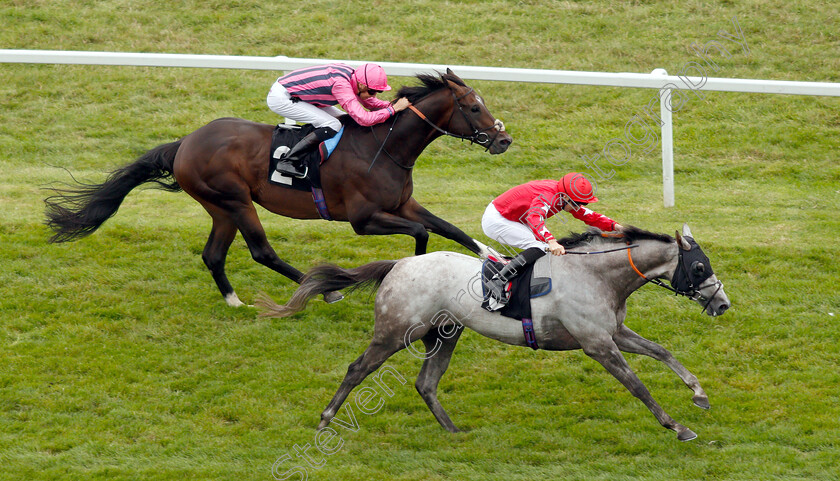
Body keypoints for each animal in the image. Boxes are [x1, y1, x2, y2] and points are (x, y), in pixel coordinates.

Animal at [44, 69, 512, 306]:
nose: (504, 139)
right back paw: (324, 290)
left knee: (213, 254)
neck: (385, 145)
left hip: (221, 208)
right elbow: (421, 234)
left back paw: (235, 301)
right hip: (234, 200)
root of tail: (185, 143)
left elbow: (450, 228)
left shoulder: (404, 204)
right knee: (261, 251)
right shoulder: (363, 220)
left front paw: (498, 260)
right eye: (473, 108)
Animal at [260, 223, 732, 440]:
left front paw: (700, 395)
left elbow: (664, 352)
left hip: (444, 334)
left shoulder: (614, 333)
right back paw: (325, 419)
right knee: (358, 369)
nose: (722, 303)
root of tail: (398, 264)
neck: (596, 275)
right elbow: (638, 386)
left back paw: (453, 432)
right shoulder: (597, 344)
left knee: (426, 383)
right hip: (396, 333)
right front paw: (677, 426)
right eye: (699, 267)